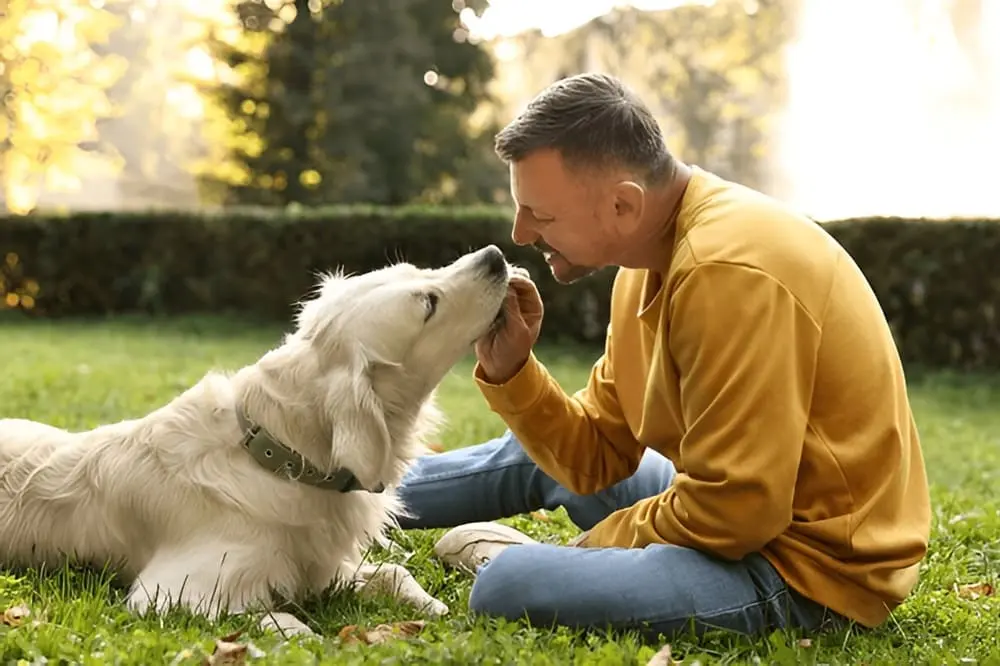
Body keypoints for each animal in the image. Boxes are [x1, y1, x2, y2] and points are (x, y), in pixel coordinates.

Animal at [0, 243, 516, 632]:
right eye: (429, 303)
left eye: (418, 269)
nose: (495, 255)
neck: (277, 456)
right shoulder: (170, 592)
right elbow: (285, 623)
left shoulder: (322, 565)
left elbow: (394, 571)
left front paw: (432, 605)